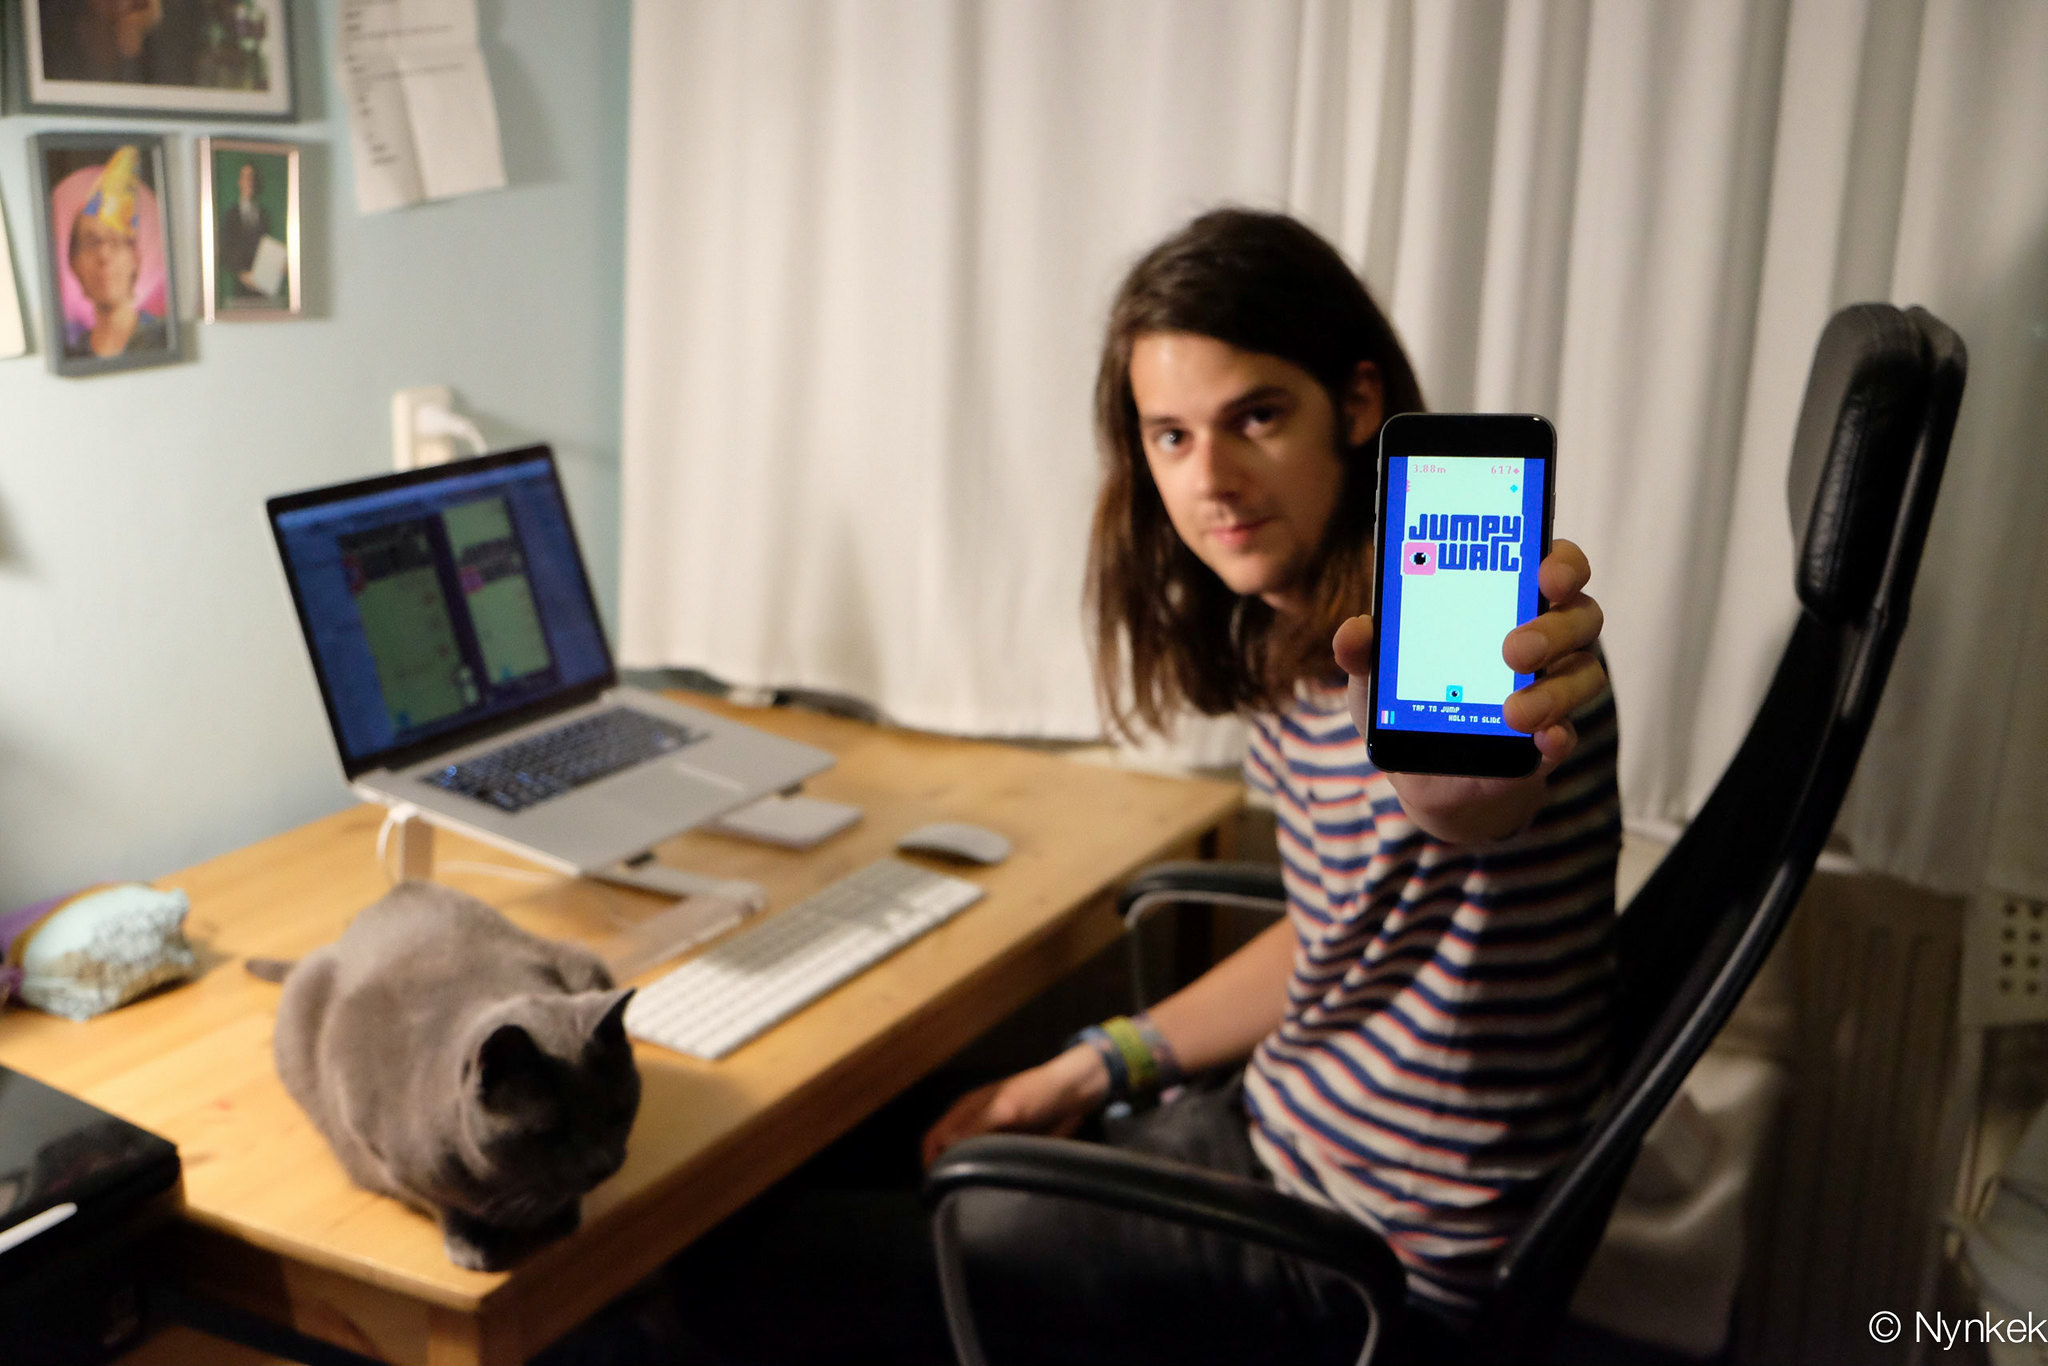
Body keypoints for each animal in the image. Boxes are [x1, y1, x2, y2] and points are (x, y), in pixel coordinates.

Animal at [260, 880, 638, 1277]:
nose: (602, 1165)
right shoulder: (383, 1154)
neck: (509, 1186)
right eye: (549, 1133)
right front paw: (470, 1247)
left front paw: (564, 1216)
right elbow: (445, 1206)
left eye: (620, 1113)